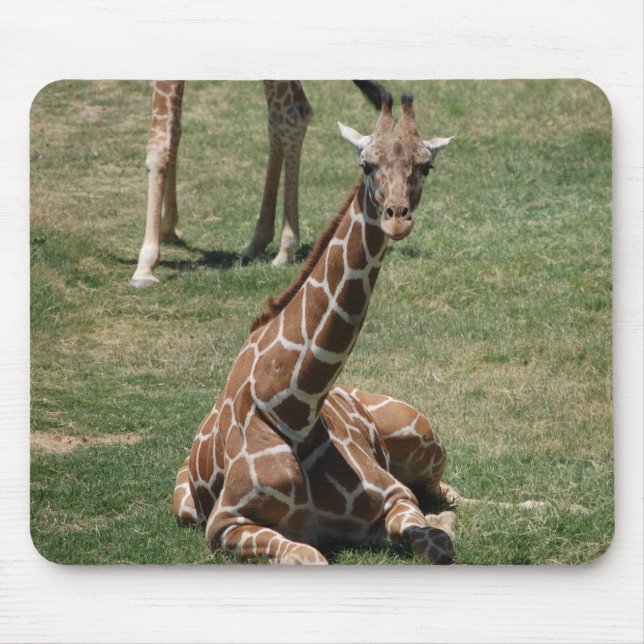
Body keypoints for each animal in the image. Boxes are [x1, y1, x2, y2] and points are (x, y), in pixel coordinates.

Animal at [130, 80, 383, 287]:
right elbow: (175, 129)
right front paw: (167, 226)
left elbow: (159, 143)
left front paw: (146, 265)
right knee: (281, 114)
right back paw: (259, 241)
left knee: (292, 112)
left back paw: (284, 247)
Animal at [172, 91, 454, 564]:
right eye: (367, 164)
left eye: (425, 166)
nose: (397, 218)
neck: (294, 407)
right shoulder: (224, 523)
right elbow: (310, 554)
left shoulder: (396, 496)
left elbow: (438, 542)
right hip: (183, 506)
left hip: (421, 435)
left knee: (446, 491)